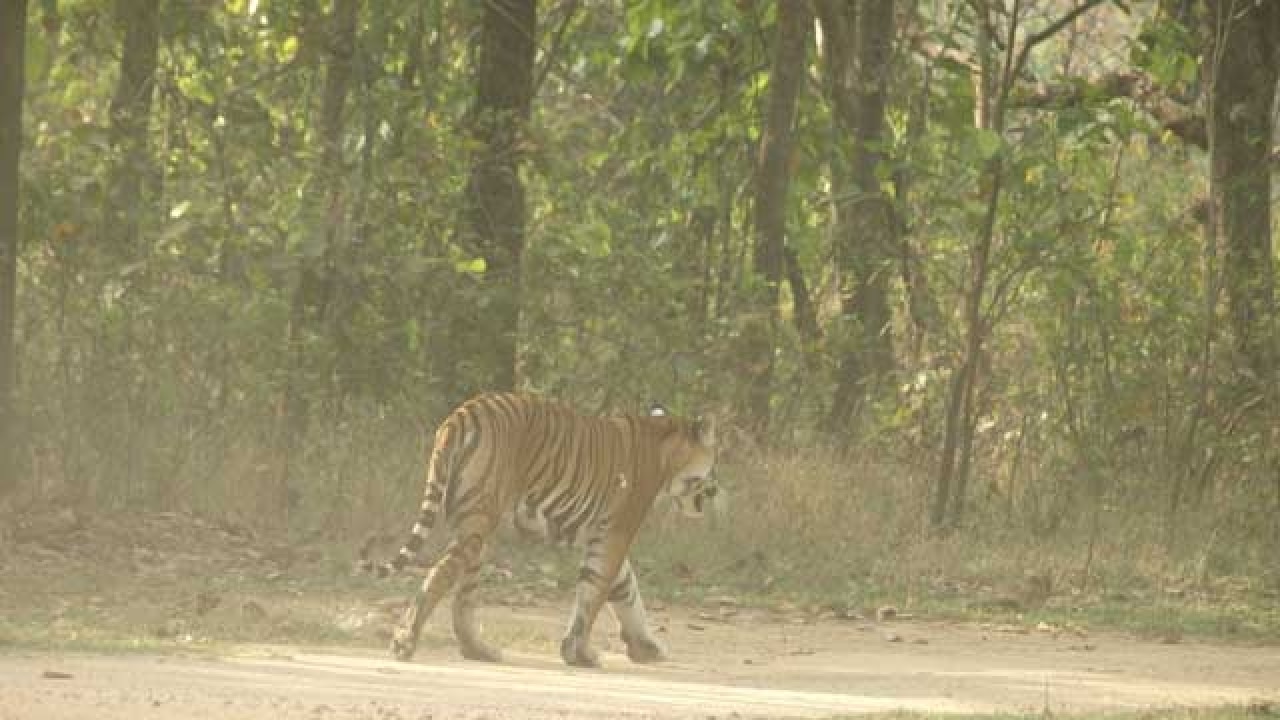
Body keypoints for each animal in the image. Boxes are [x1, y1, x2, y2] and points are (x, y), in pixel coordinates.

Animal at [366, 392, 716, 666]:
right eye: (713, 468)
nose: (715, 491)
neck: (665, 450)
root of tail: (464, 412)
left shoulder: (598, 534)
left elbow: (624, 589)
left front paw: (645, 648)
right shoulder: (616, 532)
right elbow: (595, 594)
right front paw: (581, 655)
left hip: (476, 526)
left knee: (464, 596)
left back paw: (479, 651)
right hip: (480, 520)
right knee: (440, 574)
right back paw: (405, 642)